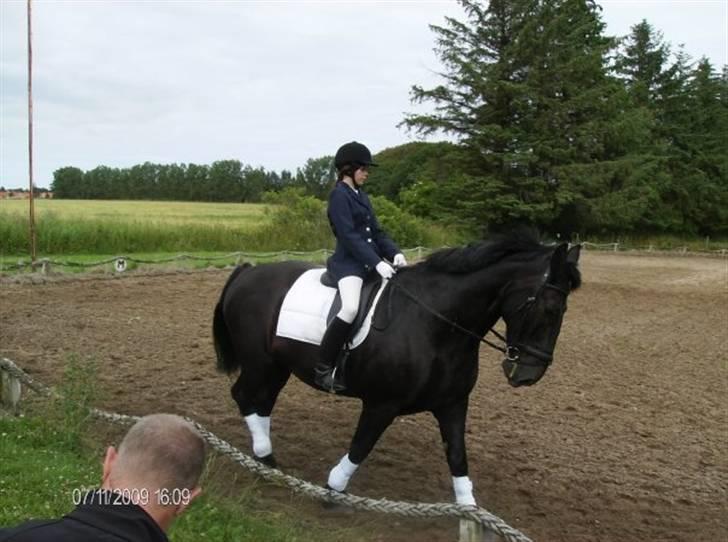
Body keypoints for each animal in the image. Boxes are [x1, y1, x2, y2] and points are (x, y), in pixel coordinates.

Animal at [212, 232, 580, 508]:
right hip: (260, 362)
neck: (437, 324)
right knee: (243, 395)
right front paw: (332, 490)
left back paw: (266, 461)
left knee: (262, 401)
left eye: (564, 310)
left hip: (277, 366)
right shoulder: (382, 404)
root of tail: (248, 271)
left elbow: (458, 457)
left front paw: (469, 512)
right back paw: (266, 458)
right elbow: (361, 446)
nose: (529, 374)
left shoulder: (453, 404)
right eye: (549, 308)